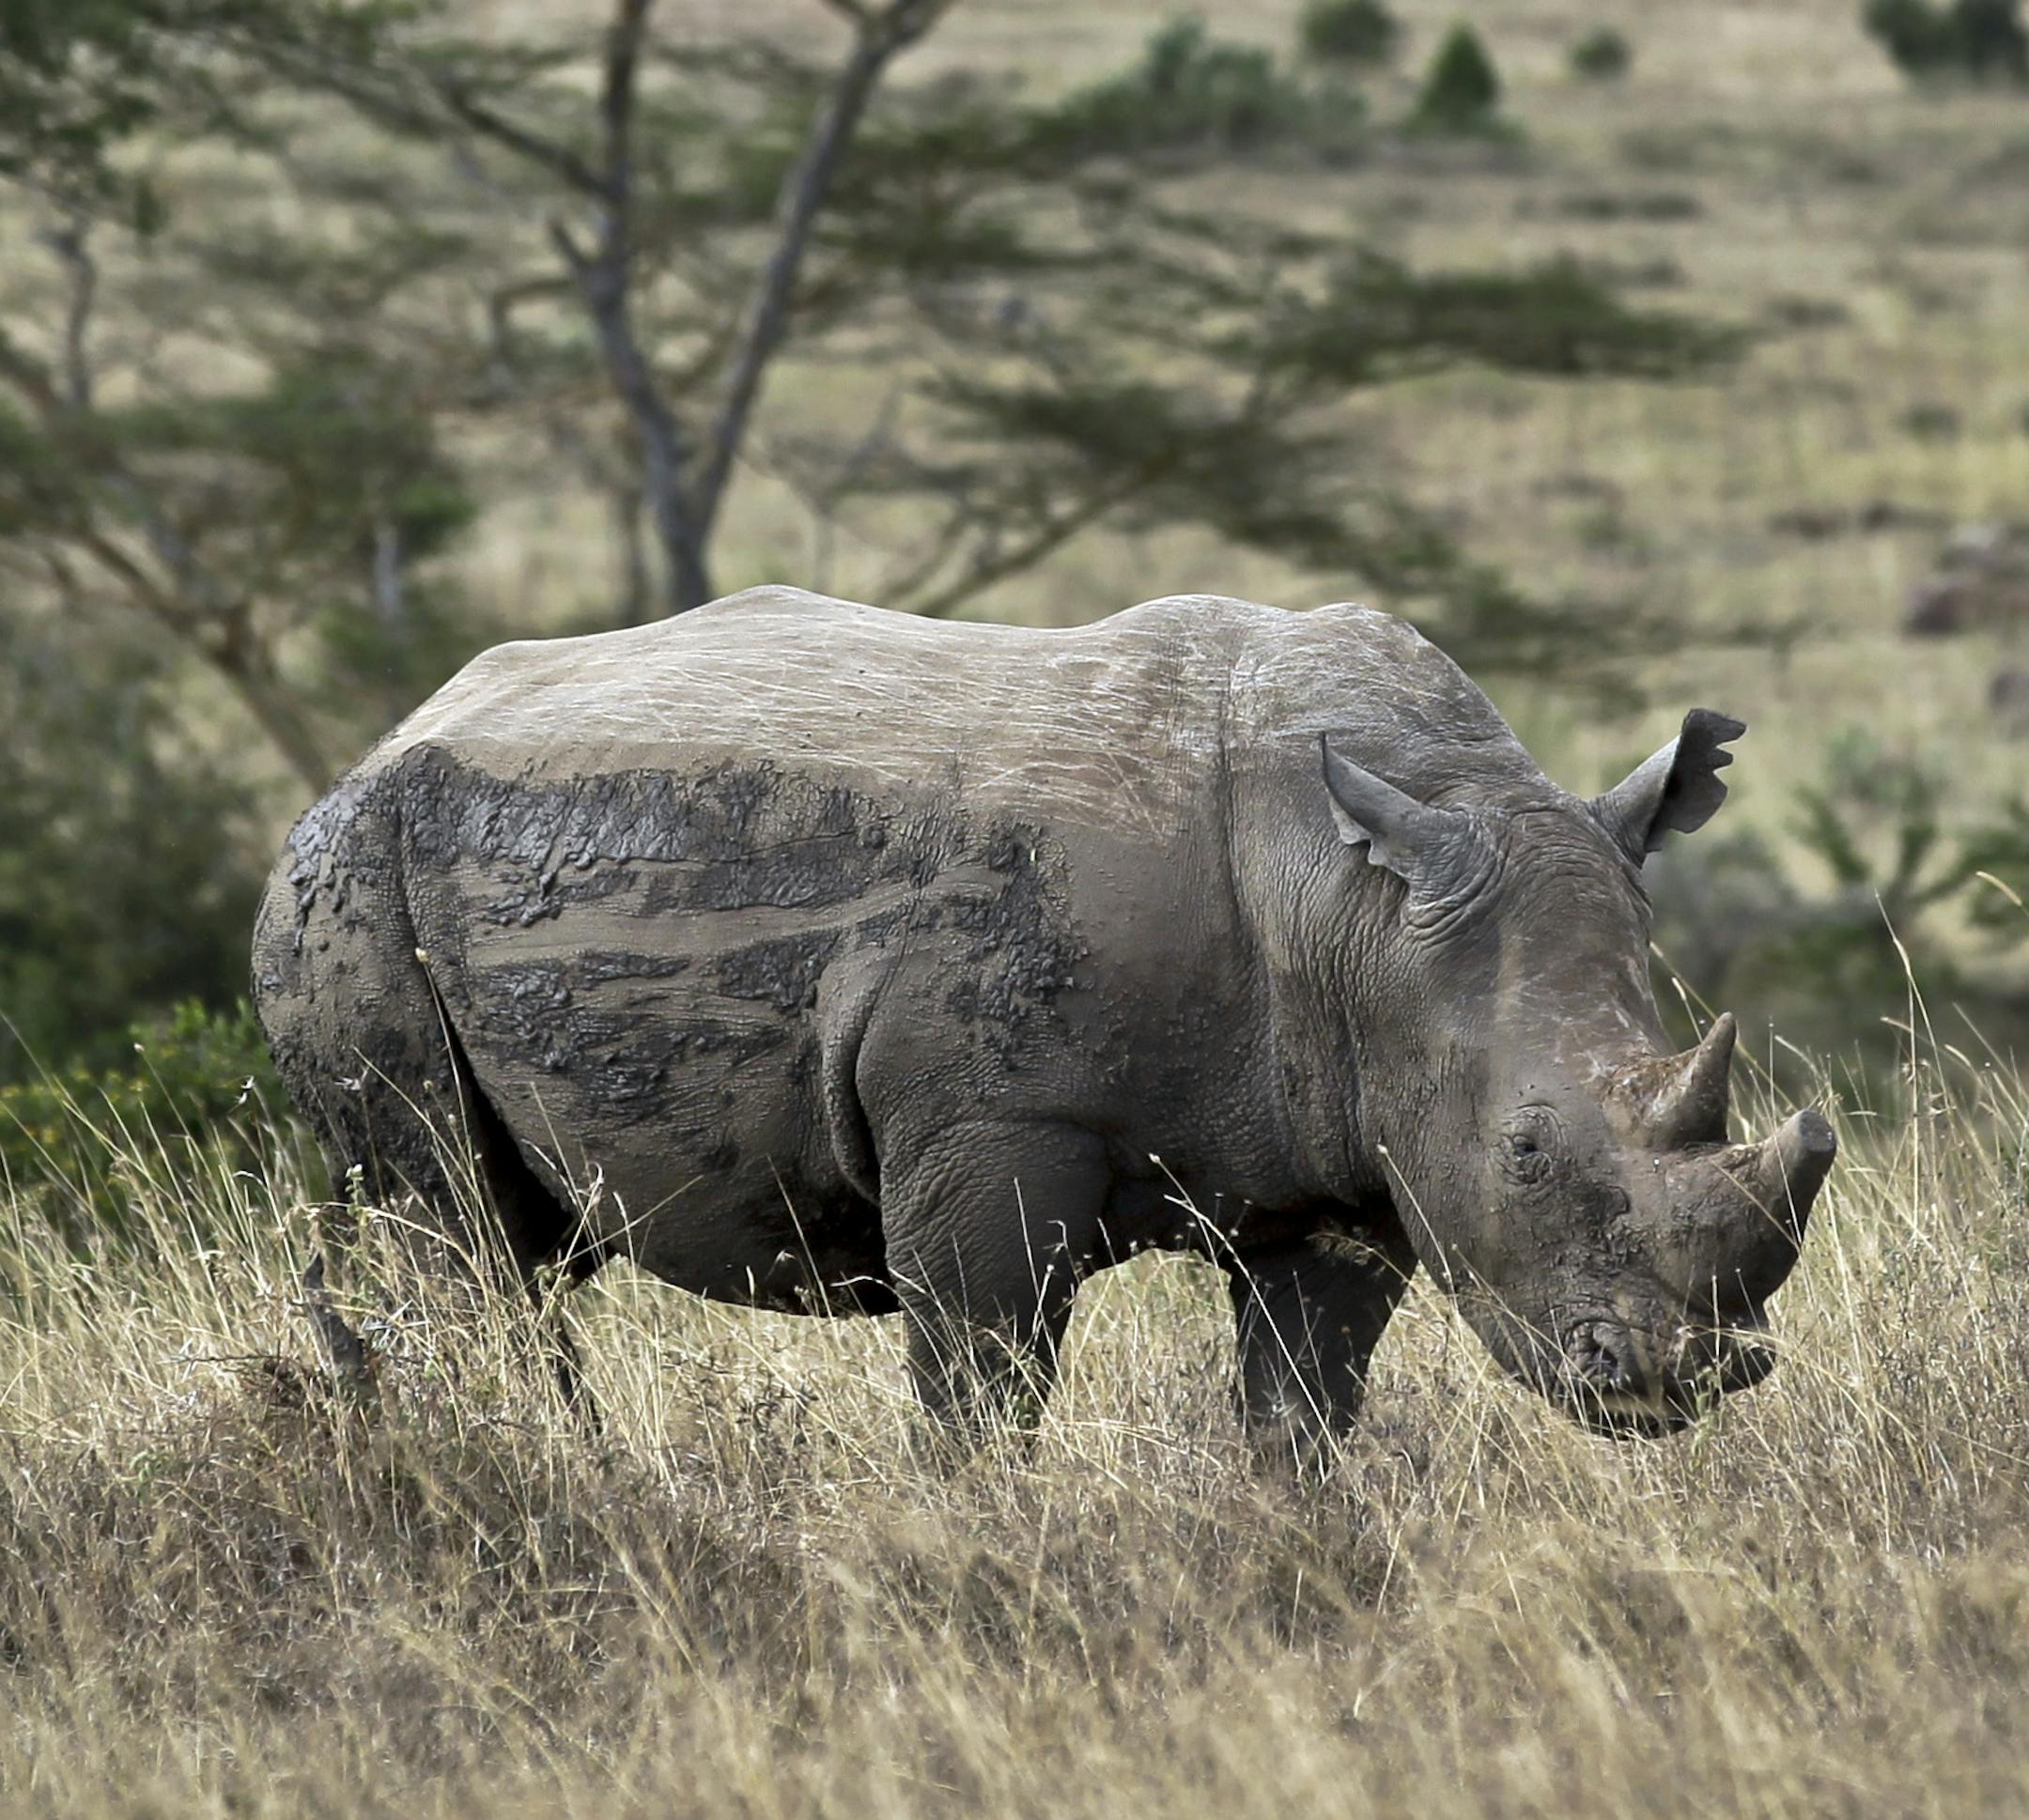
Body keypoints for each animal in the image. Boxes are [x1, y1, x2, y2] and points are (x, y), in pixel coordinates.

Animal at [252, 588, 1835, 1446]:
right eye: (1524, 1153)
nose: (1678, 1383)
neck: (1357, 903)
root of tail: (386, 734)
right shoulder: (992, 1118)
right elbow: (983, 1386)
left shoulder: (1344, 1154)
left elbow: (1302, 1405)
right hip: (348, 876)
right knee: (452, 1217)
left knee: (505, 1244)